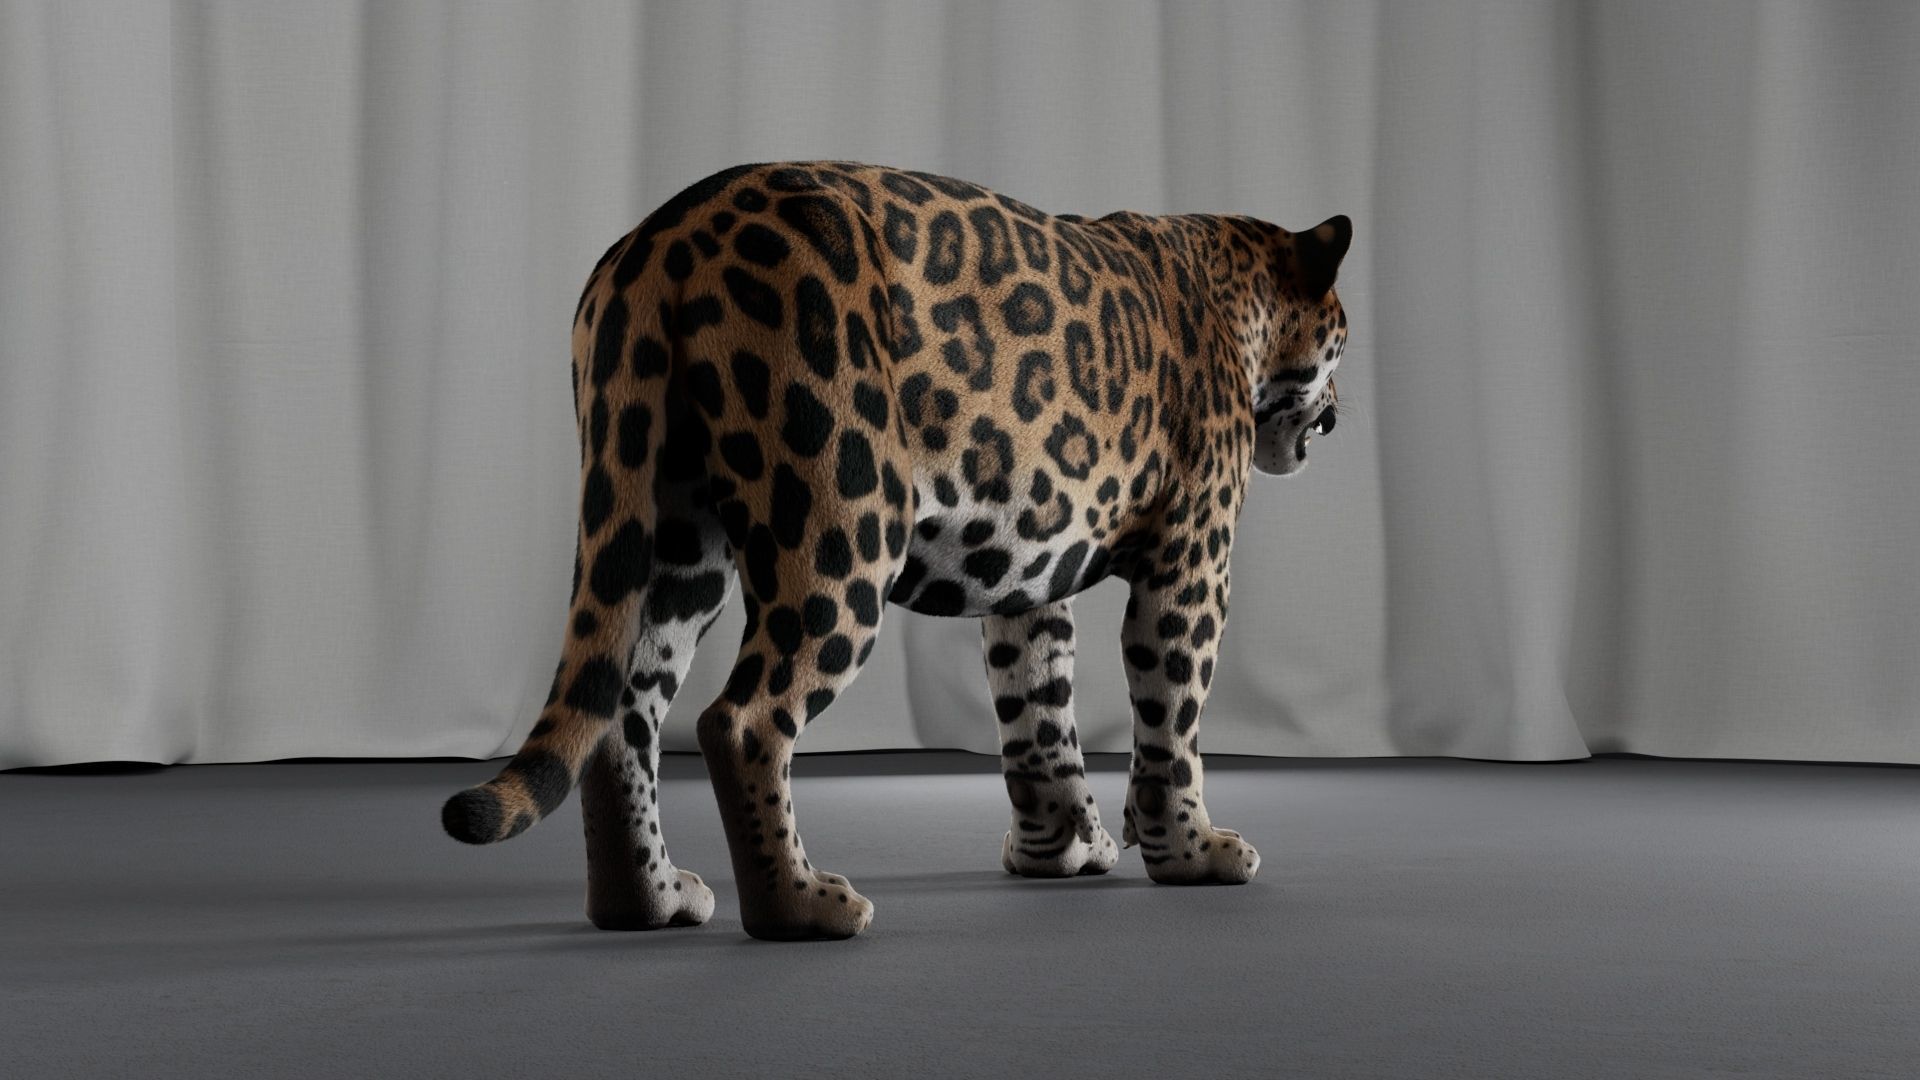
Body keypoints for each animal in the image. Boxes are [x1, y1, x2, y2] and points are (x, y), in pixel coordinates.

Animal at [441, 161, 1350, 940]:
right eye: (1343, 336)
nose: (1338, 414)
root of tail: (661, 238)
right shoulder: (1193, 559)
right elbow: (1172, 720)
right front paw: (1192, 852)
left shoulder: (1029, 576)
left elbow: (1038, 712)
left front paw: (1058, 850)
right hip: (843, 524)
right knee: (740, 720)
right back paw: (801, 907)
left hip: (671, 534)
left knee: (622, 716)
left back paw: (648, 901)